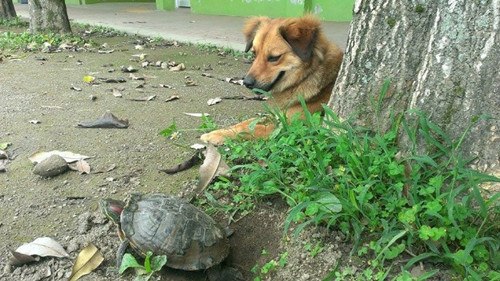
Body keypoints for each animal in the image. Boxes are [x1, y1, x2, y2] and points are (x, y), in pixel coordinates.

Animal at [199, 15, 344, 144]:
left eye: (274, 57)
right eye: (254, 53)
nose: (246, 83)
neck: (309, 76)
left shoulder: (289, 126)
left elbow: (252, 130)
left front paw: (218, 135)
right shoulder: (277, 115)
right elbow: (247, 123)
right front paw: (221, 130)